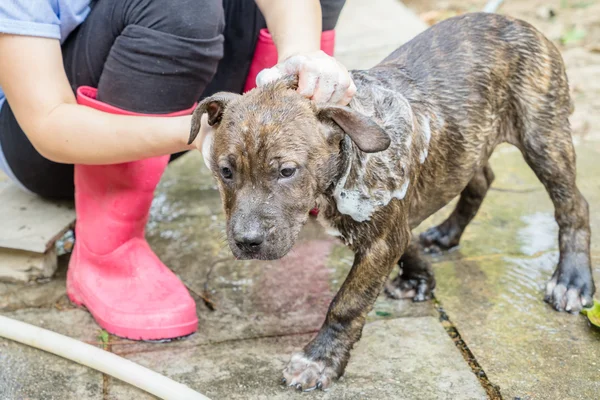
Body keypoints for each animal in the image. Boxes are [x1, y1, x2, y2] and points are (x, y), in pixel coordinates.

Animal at [189, 13, 596, 394]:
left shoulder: (380, 241)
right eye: (225, 171)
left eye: (287, 171)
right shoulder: (391, 229)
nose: (247, 242)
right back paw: (446, 234)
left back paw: (572, 280)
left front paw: (319, 360)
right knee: (480, 178)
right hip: (472, 140)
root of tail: (515, 21)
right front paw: (418, 277)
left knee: (572, 205)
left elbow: (348, 302)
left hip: (543, 138)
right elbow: (406, 238)